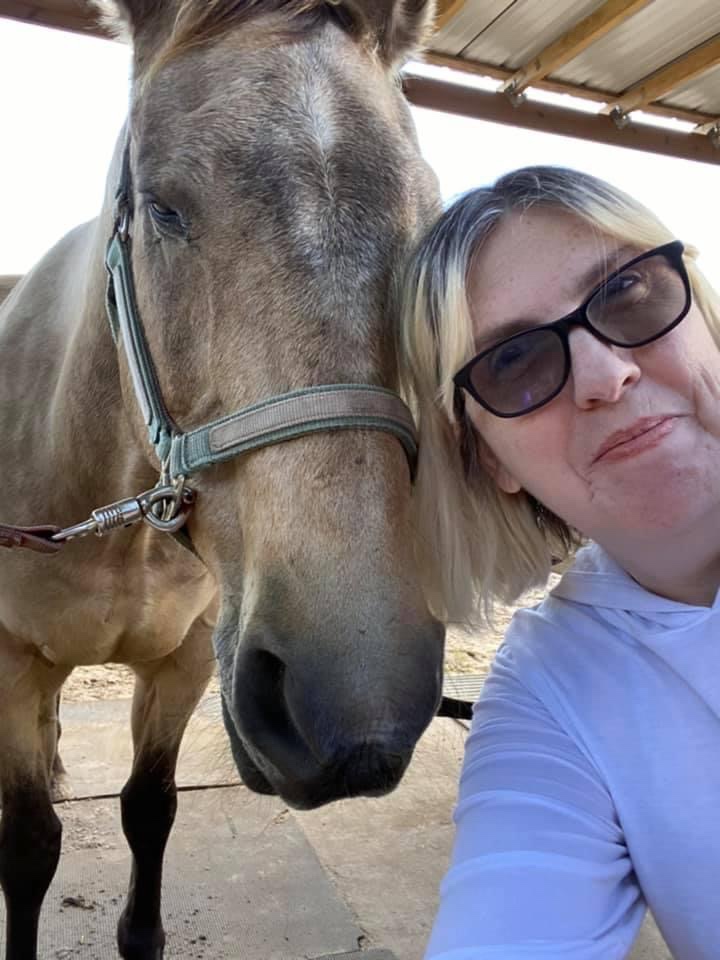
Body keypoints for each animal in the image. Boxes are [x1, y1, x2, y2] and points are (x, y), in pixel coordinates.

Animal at [0, 1, 444, 957]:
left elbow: (149, 811)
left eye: (428, 218)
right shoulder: (10, 662)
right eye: (163, 208)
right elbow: (27, 847)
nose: (360, 710)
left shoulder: (186, 662)